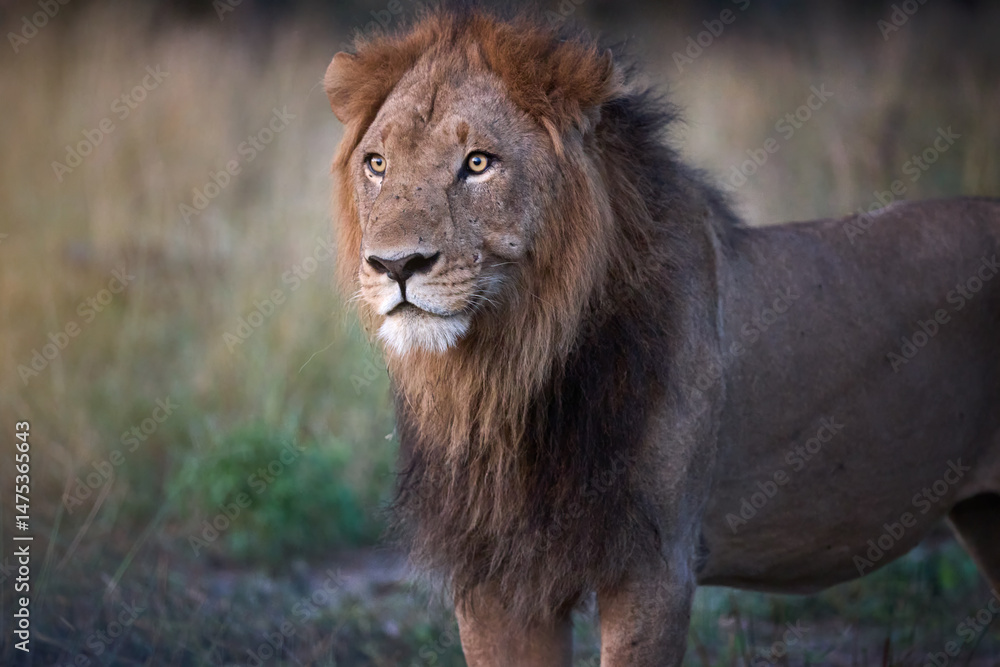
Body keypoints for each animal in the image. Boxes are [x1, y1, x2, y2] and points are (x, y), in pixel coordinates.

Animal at [324, 7, 1000, 665]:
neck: (506, 377)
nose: (394, 265)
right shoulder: (494, 581)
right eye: (377, 164)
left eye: (478, 163)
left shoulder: (655, 568)